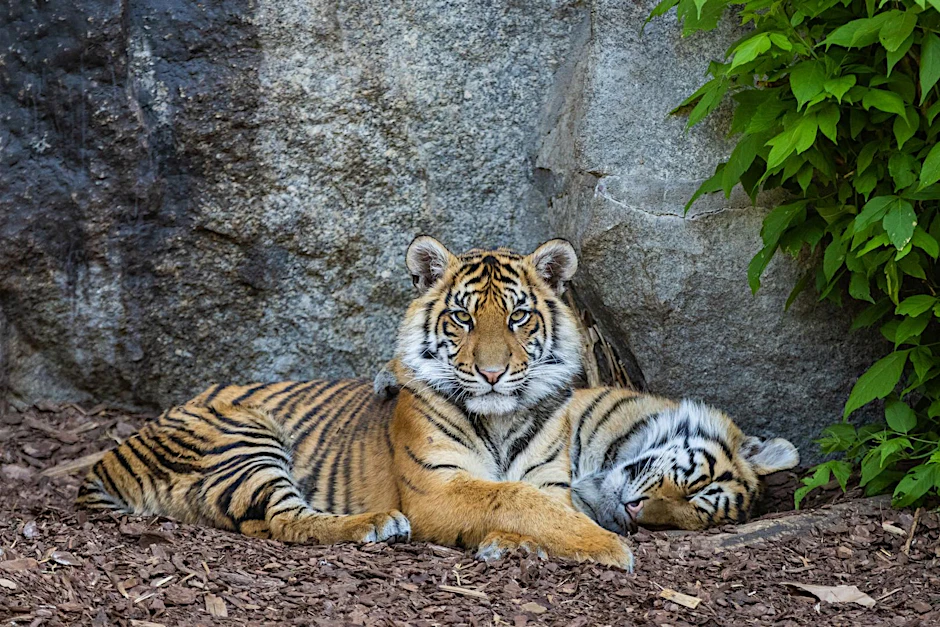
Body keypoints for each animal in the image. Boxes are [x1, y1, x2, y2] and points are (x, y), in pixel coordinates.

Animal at [78, 236, 635, 569]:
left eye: (519, 318)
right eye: (463, 318)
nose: (492, 374)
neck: (500, 421)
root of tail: (110, 455)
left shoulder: (550, 482)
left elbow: (536, 502)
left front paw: (520, 541)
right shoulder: (436, 488)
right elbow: (510, 496)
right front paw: (606, 545)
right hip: (243, 438)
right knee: (286, 521)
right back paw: (378, 524)